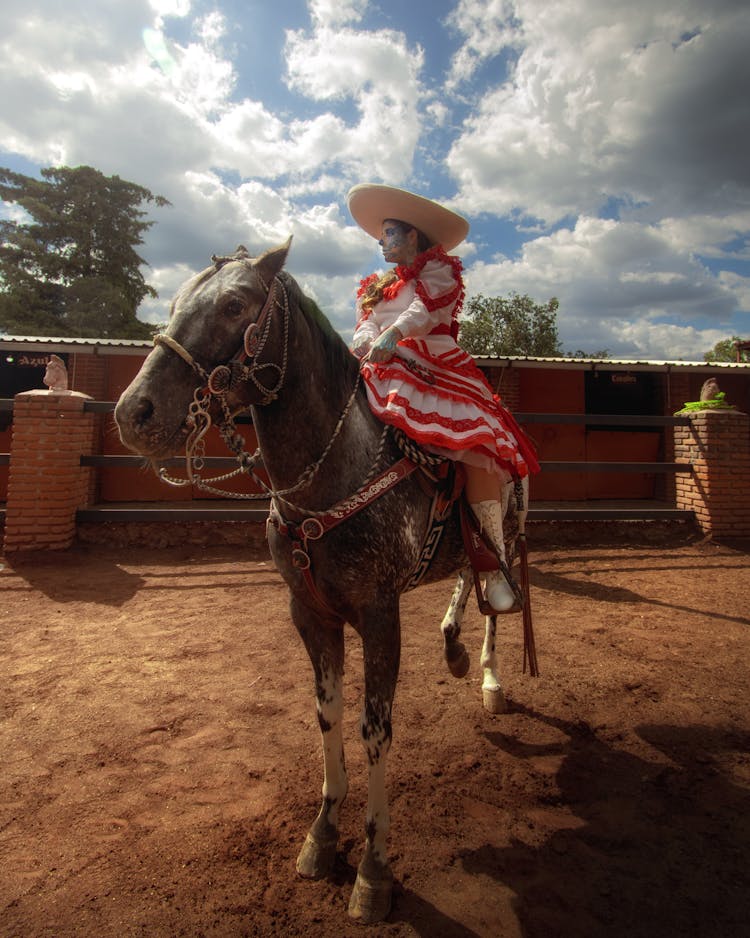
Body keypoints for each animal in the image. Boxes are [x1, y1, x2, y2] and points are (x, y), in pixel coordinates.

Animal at [114, 241, 532, 920]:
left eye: (235, 305)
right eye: (174, 301)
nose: (134, 413)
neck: (333, 470)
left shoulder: (380, 618)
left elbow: (374, 732)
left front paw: (373, 869)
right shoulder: (310, 615)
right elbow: (328, 717)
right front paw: (322, 836)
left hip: (513, 533)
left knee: (497, 594)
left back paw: (491, 675)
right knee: (468, 577)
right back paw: (453, 646)